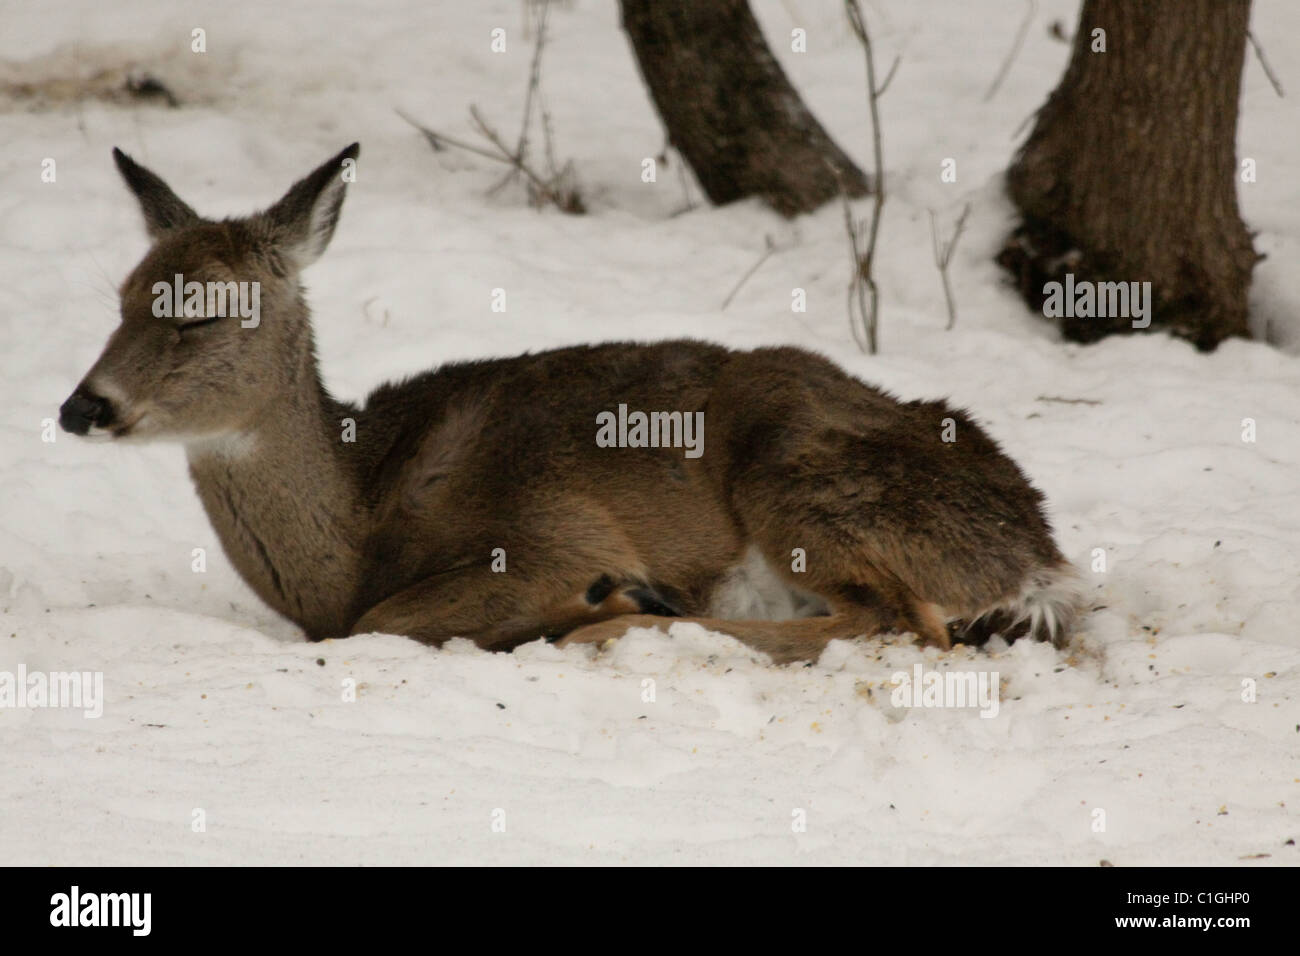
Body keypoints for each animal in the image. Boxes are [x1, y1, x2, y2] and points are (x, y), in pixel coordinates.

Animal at [55, 143, 1081, 665]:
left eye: (204, 308)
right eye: (123, 297)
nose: (80, 407)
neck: (358, 520)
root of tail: (1038, 552)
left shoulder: (548, 529)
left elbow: (380, 622)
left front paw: (594, 598)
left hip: (800, 478)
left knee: (899, 624)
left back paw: (624, 612)